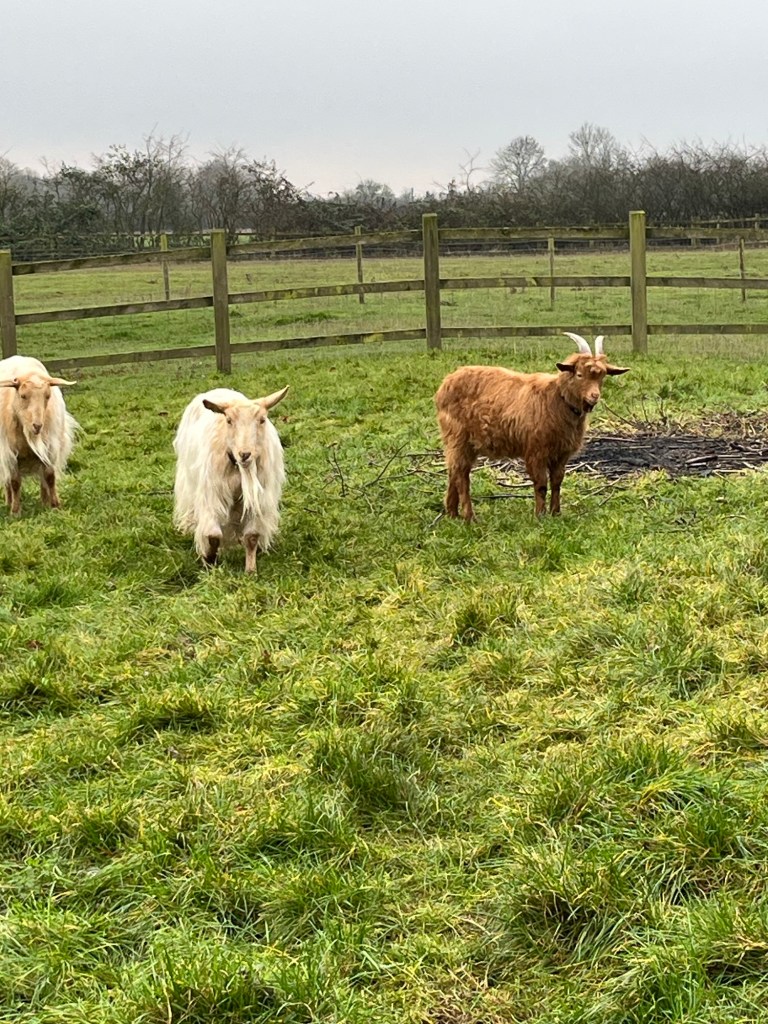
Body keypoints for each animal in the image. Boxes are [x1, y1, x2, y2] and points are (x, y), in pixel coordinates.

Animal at [0, 355, 78, 515]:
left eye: (47, 396)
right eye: (23, 396)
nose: (37, 425)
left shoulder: (50, 448)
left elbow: (49, 476)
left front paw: (54, 505)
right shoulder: (9, 453)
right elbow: (14, 482)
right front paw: (15, 511)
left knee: (43, 479)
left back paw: (44, 501)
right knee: (7, 480)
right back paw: (8, 501)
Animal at [173, 384, 289, 572]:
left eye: (262, 419)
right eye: (229, 420)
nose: (245, 454)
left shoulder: (258, 500)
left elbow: (252, 536)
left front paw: (250, 570)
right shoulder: (211, 496)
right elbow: (213, 535)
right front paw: (209, 560)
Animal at [435, 333, 629, 520]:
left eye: (602, 376)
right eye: (579, 374)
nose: (594, 396)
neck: (557, 398)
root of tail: (445, 384)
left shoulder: (562, 453)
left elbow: (557, 482)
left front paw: (556, 513)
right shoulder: (536, 451)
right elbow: (541, 484)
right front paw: (540, 515)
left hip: (466, 444)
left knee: (455, 470)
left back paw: (452, 513)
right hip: (457, 436)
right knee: (462, 476)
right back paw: (469, 517)